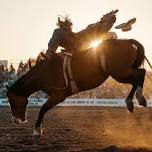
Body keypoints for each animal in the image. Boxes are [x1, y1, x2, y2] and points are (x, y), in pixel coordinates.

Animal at [6, 38, 147, 137]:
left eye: (11, 101)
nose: (16, 121)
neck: (44, 72)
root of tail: (126, 41)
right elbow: (44, 109)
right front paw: (39, 129)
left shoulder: (58, 96)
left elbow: (43, 109)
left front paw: (36, 131)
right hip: (122, 73)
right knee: (138, 77)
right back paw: (131, 103)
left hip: (120, 73)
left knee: (141, 73)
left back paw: (139, 99)